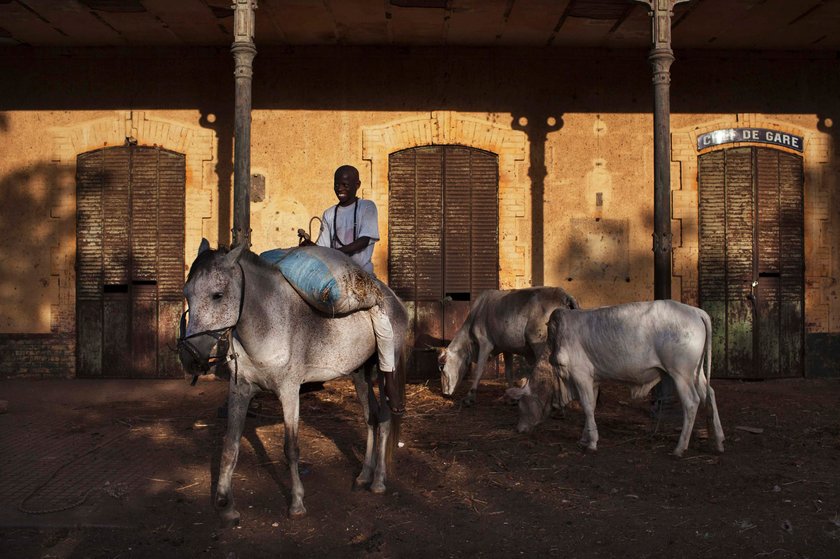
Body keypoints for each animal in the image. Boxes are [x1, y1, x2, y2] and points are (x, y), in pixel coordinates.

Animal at [179, 240, 408, 524]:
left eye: (217, 295)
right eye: (187, 293)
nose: (188, 358)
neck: (269, 325)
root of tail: (396, 301)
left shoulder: (289, 393)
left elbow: (291, 448)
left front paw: (297, 503)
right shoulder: (240, 390)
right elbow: (230, 446)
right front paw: (226, 504)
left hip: (384, 373)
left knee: (385, 418)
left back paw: (378, 481)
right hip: (360, 375)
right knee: (371, 419)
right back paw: (363, 476)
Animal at [440, 288, 576, 406]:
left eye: (442, 368)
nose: (444, 393)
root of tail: (564, 295)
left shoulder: (485, 343)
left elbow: (479, 370)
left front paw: (470, 397)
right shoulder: (507, 348)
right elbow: (509, 372)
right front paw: (512, 398)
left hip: (539, 343)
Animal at [508, 300, 724, 458]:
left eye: (520, 405)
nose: (519, 429)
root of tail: (695, 311)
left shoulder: (580, 376)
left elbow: (587, 406)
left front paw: (592, 443)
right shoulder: (593, 380)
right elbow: (591, 407)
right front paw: (584, 438)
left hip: (681, 373)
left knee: (692, 402)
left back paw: (679, 448)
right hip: (696, 372)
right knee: (711, 394)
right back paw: (719, 441)